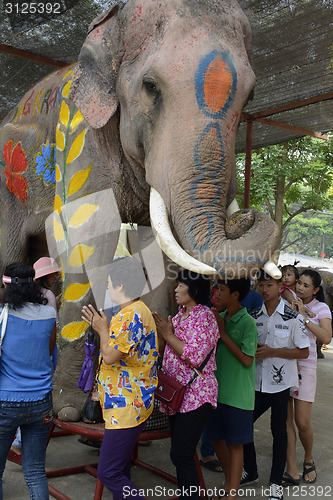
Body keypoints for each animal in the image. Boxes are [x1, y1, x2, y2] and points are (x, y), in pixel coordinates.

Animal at [0, 0, 280, 422]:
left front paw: (156, 406)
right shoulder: (79, 137)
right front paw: (69, 411)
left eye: (249, 97)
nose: (243, 215)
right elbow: (89, 235)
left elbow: (155, 246)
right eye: (150, 86)